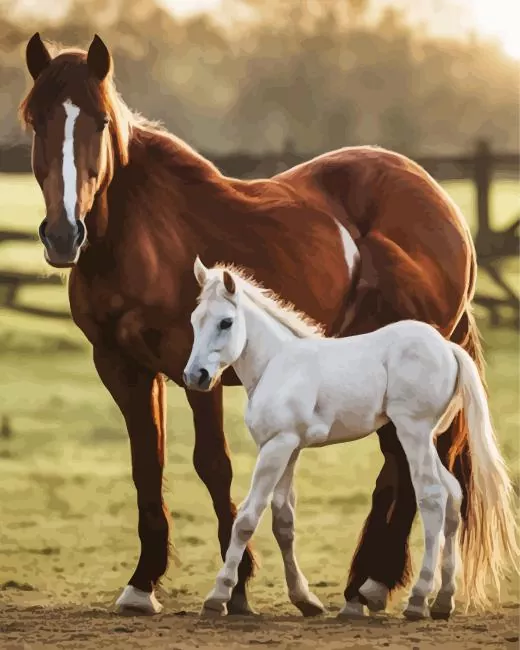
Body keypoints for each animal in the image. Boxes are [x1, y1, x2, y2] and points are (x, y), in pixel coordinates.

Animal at [184, 259, 518, 620]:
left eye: (225, 322)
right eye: (195, 320)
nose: (195, 376)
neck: (277, 363)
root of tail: (448, 348)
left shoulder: (276, 447)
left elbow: (247, 518)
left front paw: (218, 596)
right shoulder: (288, 448)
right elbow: (283, 520)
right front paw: (305, 599)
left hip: (412, 432)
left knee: (432, 498)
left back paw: (417, 600)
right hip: (426, 440)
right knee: (454, 496)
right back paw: (443, 601)